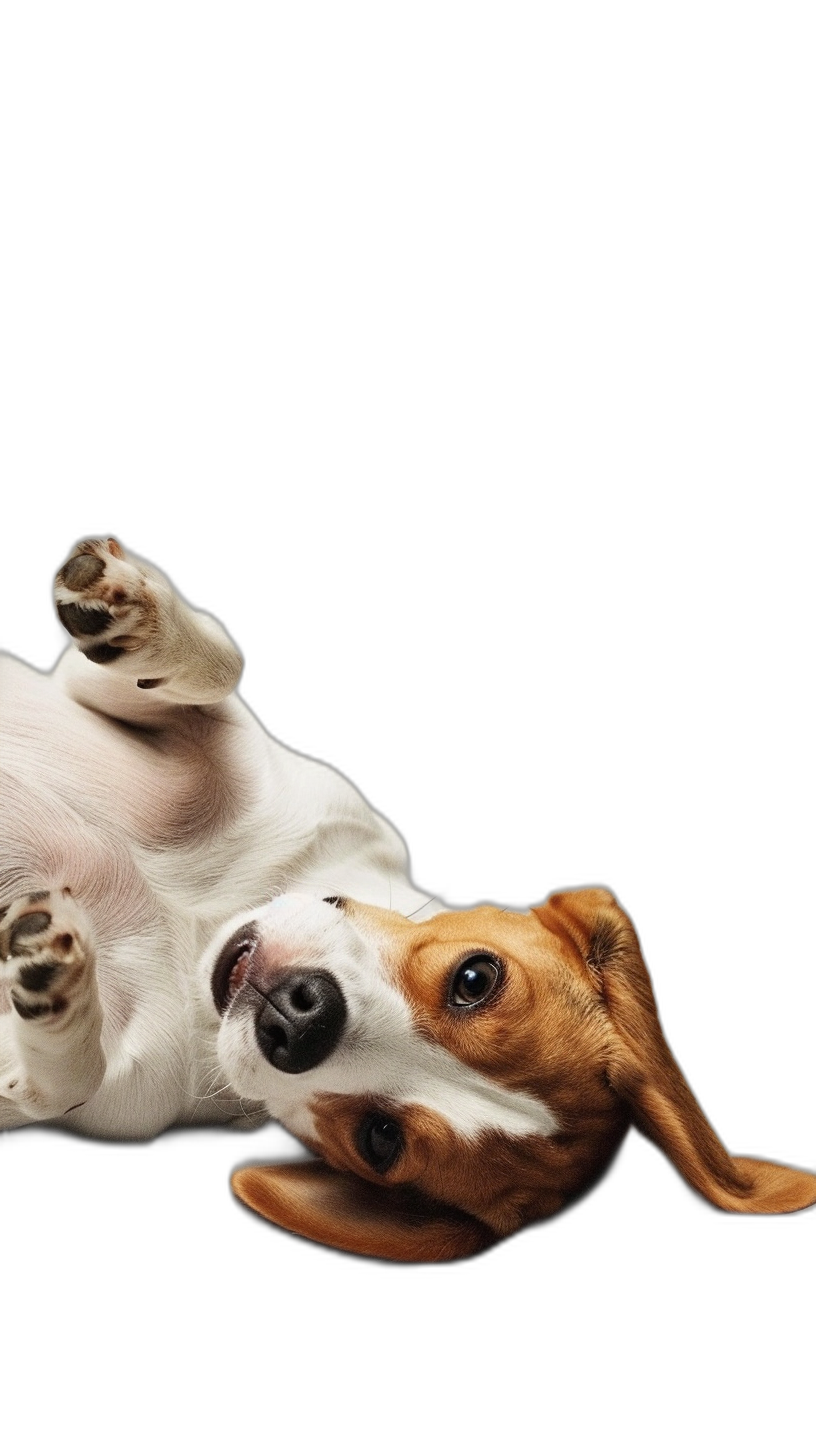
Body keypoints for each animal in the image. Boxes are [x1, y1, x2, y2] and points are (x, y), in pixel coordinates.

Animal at [1, 535, 816, 1263]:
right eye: (476, 978)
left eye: (380, 1140)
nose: (300, 1017)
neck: (195, 924)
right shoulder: (126, 698)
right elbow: (219, 661)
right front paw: (126, 609)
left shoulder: (111, 1091)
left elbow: (60, 1082)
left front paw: (52, 984)